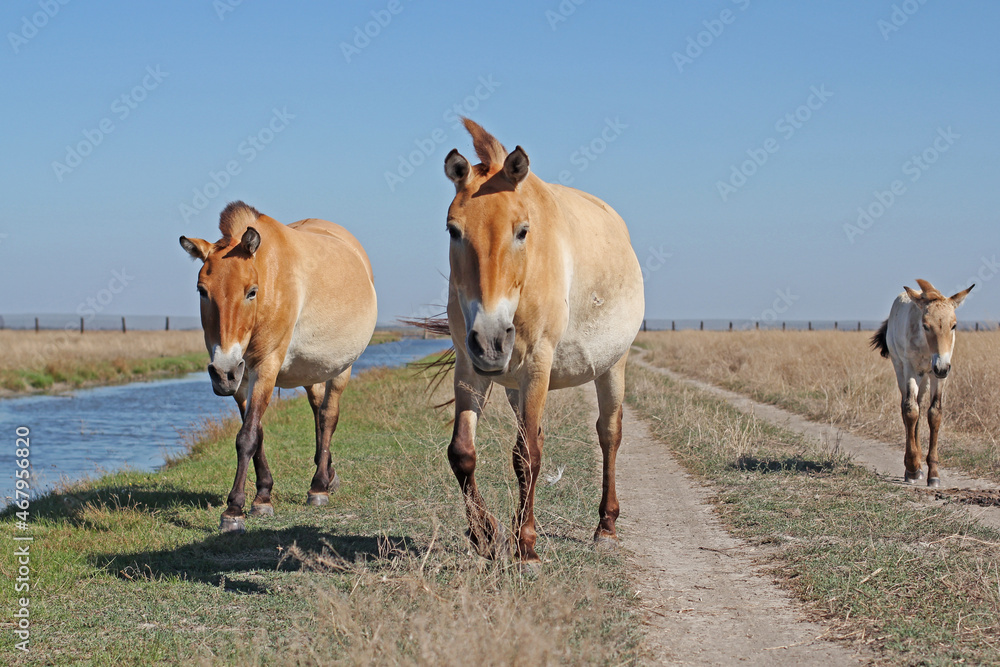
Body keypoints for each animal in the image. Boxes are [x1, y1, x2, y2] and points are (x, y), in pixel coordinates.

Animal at [180, 201, 377, 532]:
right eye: (202, 291)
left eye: (251, 291)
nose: (223, 373)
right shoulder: (241, 379)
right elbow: (255, 432)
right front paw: (263, 495)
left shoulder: (265, 367)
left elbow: (246, 436)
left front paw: (234, 510)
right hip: (312, 371)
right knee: (317, 411)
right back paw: (328, 474)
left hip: (342, 367)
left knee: (328, 416)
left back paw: (319, 486)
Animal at [433, 119, 645, 564]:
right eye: (454, 230)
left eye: (523, 231)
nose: (492, 340)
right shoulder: (470, 365)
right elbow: (463, 452)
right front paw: (486, 535)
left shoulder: (537, 363)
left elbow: (527, 456)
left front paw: (526, 547)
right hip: (514, 385)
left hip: (612, 366)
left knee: (609, 434)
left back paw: (606, 527)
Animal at [870, 278, 973, 487]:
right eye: (925, 325)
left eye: (954, 325)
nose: (941, 367)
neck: (927, 348)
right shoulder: (911, 370)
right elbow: (910, 411)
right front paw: (911, 468)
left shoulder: (938, 376)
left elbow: (934, 413)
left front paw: (933, 473)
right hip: (901, 369)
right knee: (907, 407)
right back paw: (912, 465)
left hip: (925, 378)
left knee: (919, 405)